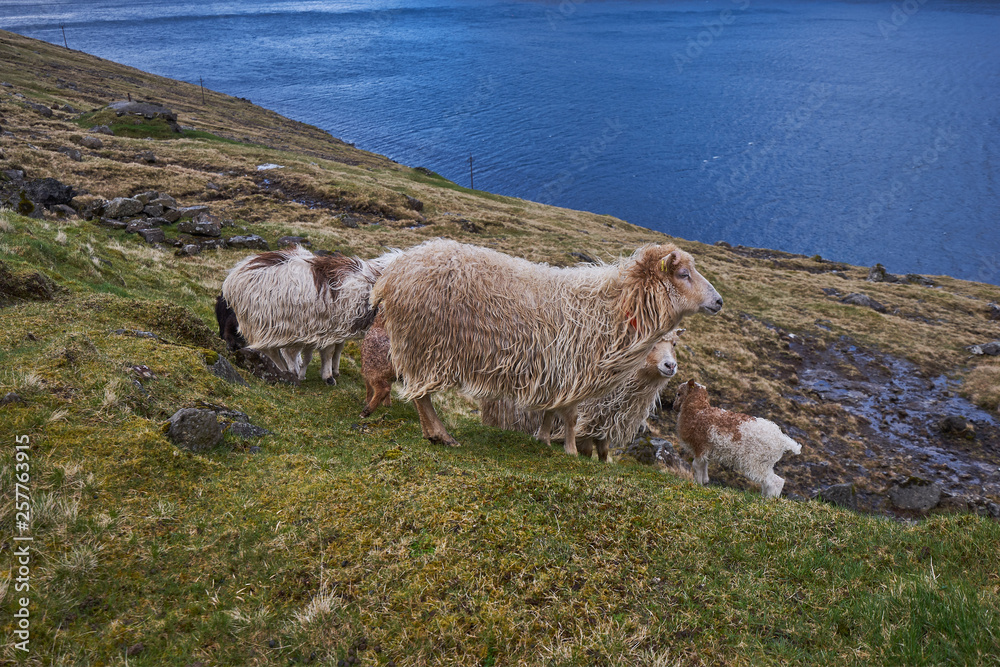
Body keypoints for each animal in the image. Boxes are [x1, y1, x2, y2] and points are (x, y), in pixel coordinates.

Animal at [221, 246, 398, 384]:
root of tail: (233, 276)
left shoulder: (336, 327)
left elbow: (336, 350)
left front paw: (332, 371)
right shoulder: (330, 328)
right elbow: (328, 352)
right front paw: (328, 376)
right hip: (263, 323)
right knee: (271, 351)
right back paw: (284, 371)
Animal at [481, 329, 685, 462]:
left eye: (674, 344)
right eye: (652, 343)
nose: (670, 365)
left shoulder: (607, 419)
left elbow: (603, 450)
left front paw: (605, 462)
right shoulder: (588, 416)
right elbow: (586, 448)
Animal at [672, 379, 801, 498]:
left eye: (678, 394)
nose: (674, 407)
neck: (698, 411)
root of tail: (782, 440)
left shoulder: (699, 448)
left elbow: (696, 466)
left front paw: (697, 485)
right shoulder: (705, 452)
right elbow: (704, 467)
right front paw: (704, 482)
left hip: (756, 463)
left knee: (775, 482)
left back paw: (768, 500)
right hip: (765, 464)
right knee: (772, 482)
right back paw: (763, 497)